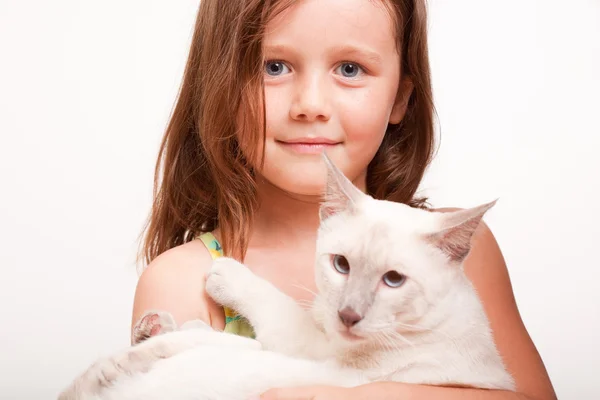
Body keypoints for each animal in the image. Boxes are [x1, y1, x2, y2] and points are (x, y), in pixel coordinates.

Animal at [58, 155, 512, 400]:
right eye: (341, 265)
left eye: (394, 280)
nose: (348, 315)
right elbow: (205, 335)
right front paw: (153, 333)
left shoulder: (316, 355)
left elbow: (270, 312)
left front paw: (224, 273)